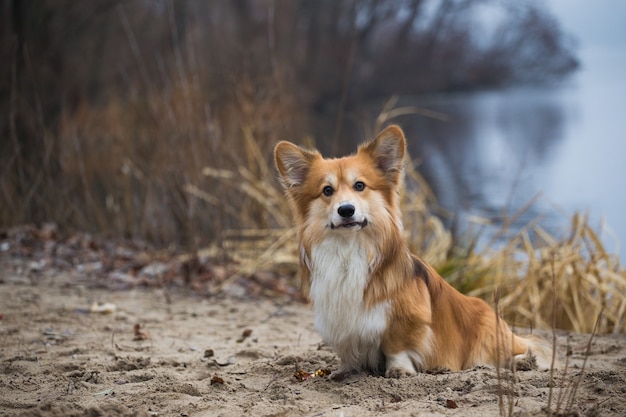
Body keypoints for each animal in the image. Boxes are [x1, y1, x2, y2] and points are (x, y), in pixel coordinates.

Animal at [274, 124, 552, 376]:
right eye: (327, 191)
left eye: (360, 186)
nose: (346, 210)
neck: (348, 249)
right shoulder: (337, 317)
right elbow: (347, 349)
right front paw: (346, 370)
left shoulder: (405, 318)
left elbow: (397, 346)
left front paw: (399, 369)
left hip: (487, 331)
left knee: (519, 350)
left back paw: (522, 361)